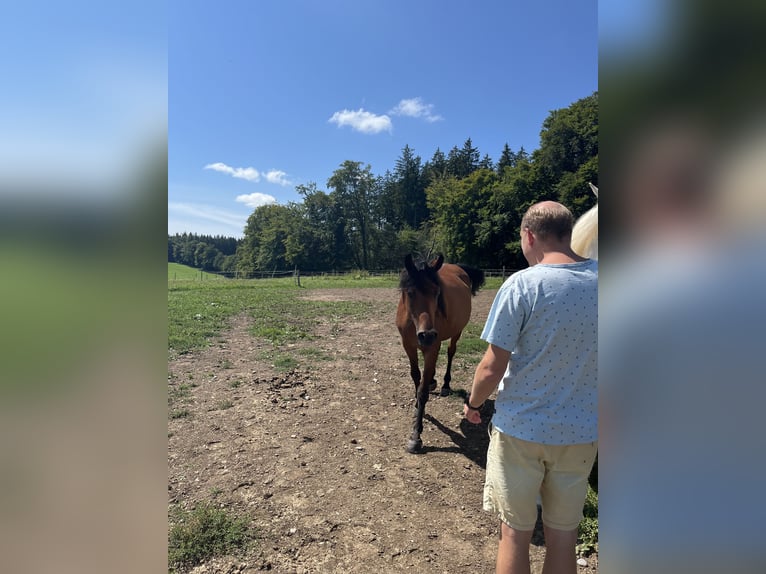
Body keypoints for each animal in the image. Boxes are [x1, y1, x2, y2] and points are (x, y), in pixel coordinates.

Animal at [396, 253, 486, 454]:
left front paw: (416, 436)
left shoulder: (431, 347)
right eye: (411, 292)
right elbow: (416, 376)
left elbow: (422, 391)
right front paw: (418, 405)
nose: (427, 335)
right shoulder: (408, 346)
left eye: (437, 293)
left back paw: (445, 384)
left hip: (456, 332)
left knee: (451, 352)